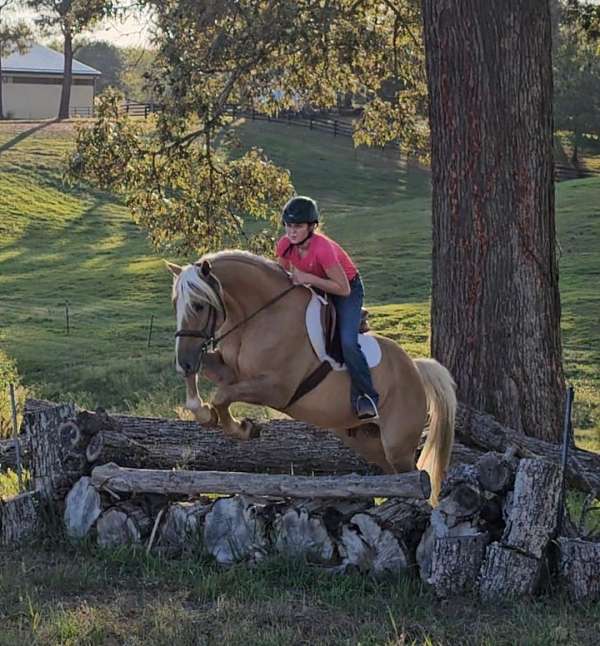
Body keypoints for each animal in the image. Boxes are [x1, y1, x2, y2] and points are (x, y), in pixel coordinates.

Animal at [166, 250, 457, 504]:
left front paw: (243, 428)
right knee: (392, 475)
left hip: (398, 444)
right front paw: (205, 414)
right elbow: (211, 386)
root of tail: (415, 368)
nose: (185, 361)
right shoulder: (229, 370)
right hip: (366, 441)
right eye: (175, 305)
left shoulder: (276, 389)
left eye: (199, 306)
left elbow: (222, 396)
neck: (260, 316)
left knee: (412, 477)